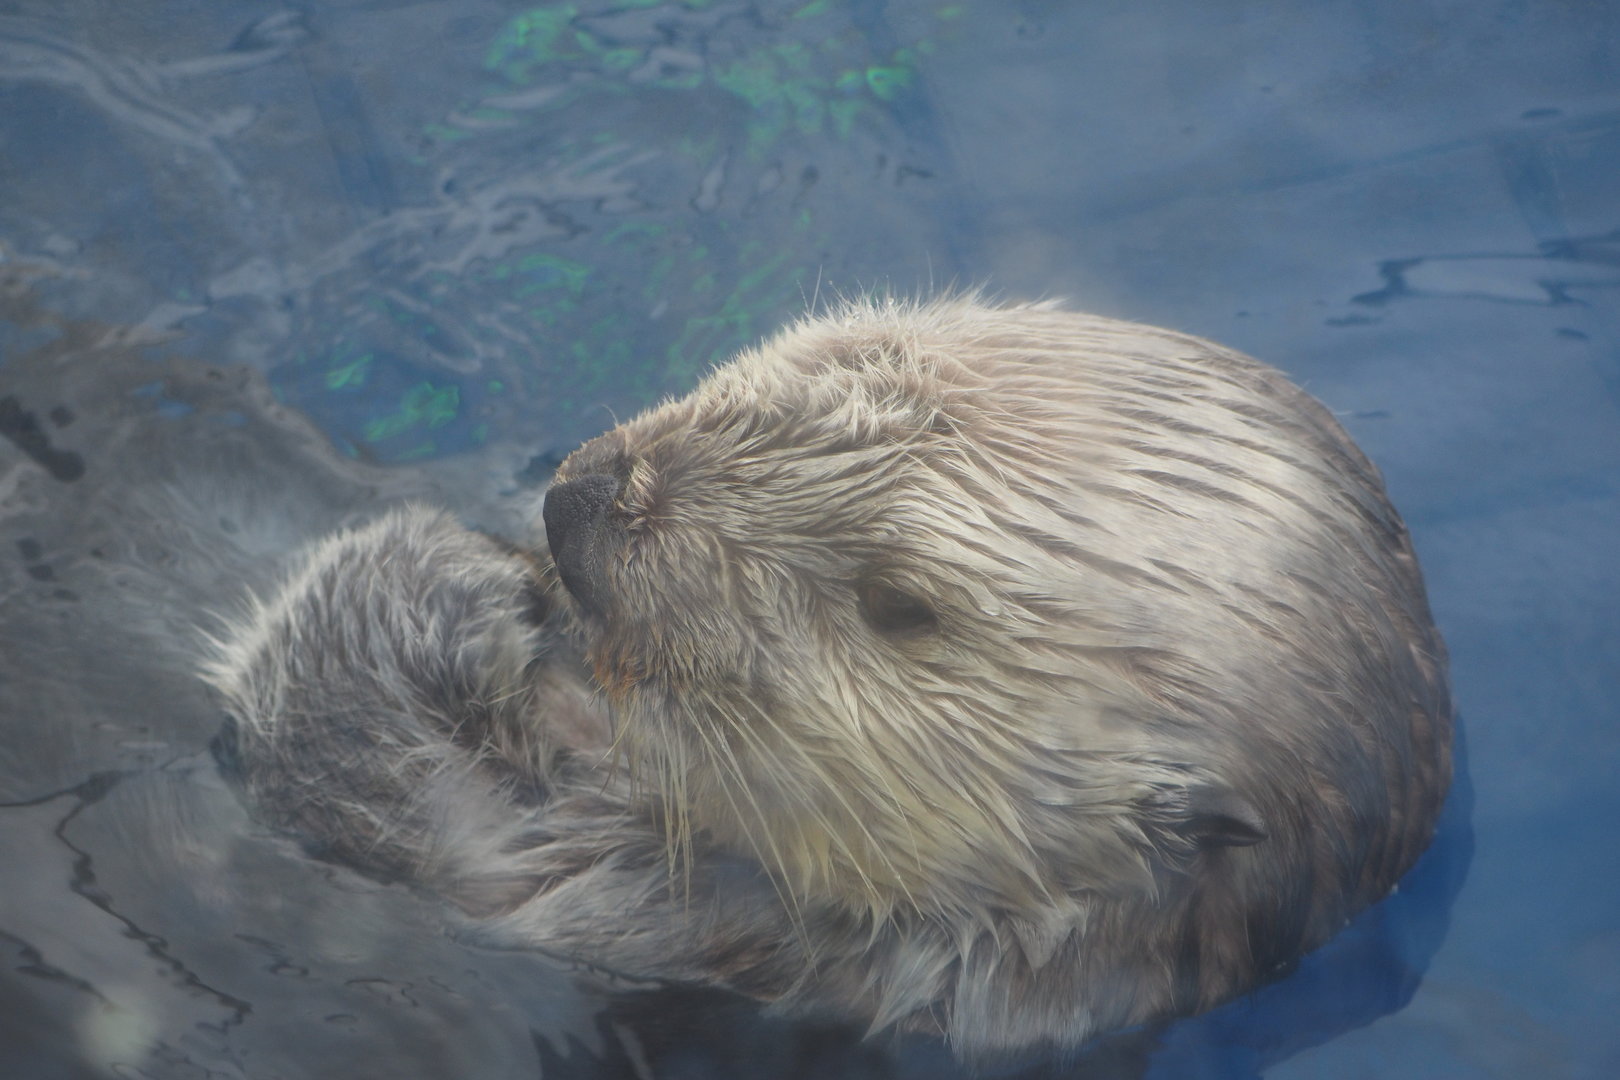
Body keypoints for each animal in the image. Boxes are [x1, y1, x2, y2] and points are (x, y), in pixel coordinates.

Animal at [207, 298, 1451, 1061]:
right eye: (825, 352)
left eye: (900, 604)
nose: (588, 504)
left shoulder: (679, 922)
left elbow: (391, 781)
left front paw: (466, 583)